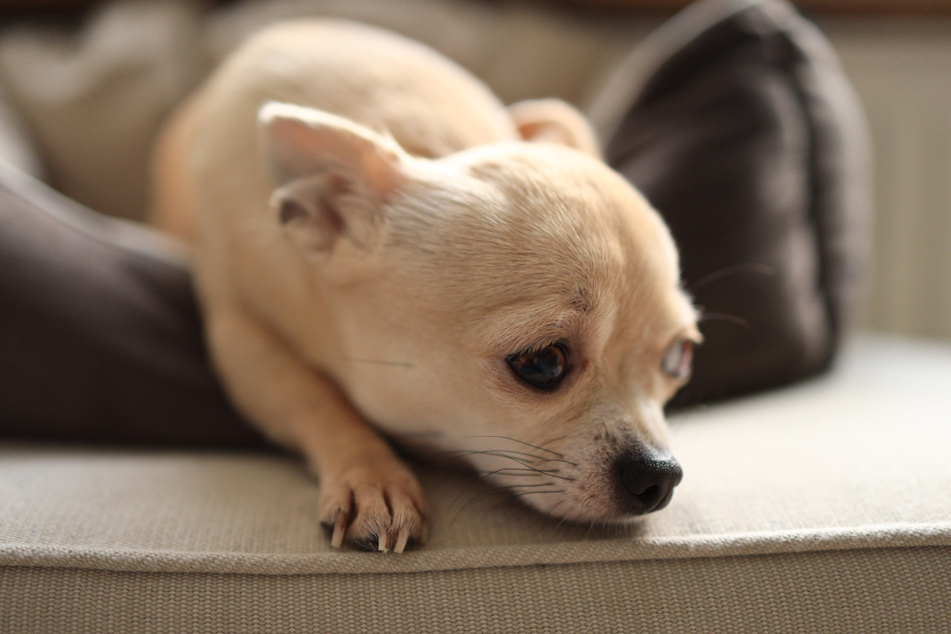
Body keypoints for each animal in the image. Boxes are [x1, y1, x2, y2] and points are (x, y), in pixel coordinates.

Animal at [149, 22, 700, 552]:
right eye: (542, 363)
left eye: (678, 359)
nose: (659, 476)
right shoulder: (240, 335)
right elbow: (315, 396)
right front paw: (373, 480)